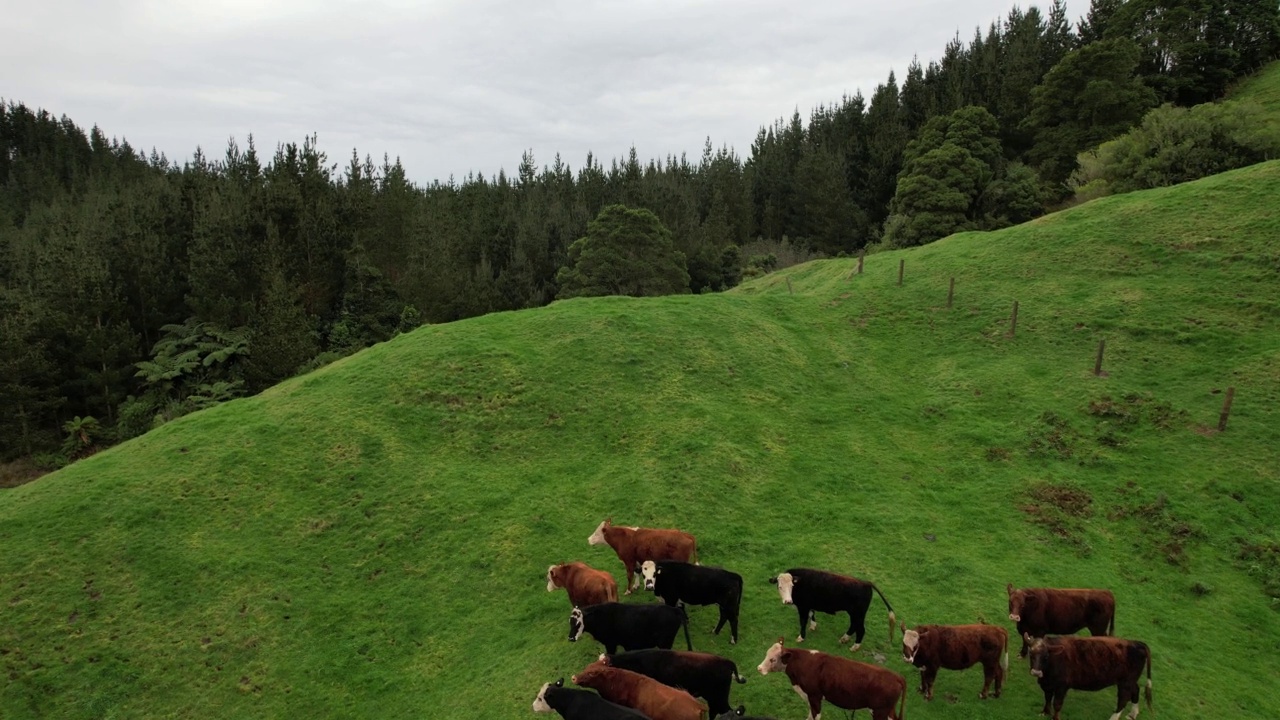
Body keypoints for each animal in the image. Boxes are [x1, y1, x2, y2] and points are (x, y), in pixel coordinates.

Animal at [752, 632, 906, 717]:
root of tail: (896, 676)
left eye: (773, 659)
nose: (759, 668)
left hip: (880, 711)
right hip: (887, 710)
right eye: (766, 654)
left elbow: (815, 716)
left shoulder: (815, 697)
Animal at [768, 566, 901, 650]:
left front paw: (801, 637)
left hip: (858, 613)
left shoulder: (803, 607)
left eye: (792, 585)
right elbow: (812, 614)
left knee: (861, 629)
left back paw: (855, 646)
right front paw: (813, 626)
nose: (788, 601)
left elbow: (803, 621)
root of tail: (866, 583)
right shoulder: (809, 605)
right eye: (779, 586)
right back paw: (844, 638)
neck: (800, 582)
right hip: (854, 613)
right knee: (854, 626)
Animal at [1024, 632, 1157, 717]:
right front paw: (1045, 712)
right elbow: (1047, 698)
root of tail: (1137, 643)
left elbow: (1057, 704)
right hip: (1130, 681)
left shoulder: (1062, 686)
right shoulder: (1047, 684)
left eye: (1046, 656)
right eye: (1031, 654)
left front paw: (1055, 717)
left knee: (1123, 699)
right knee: (1136, 690)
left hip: (1126, 683)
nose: (1036, 672)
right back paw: (1132, 714)